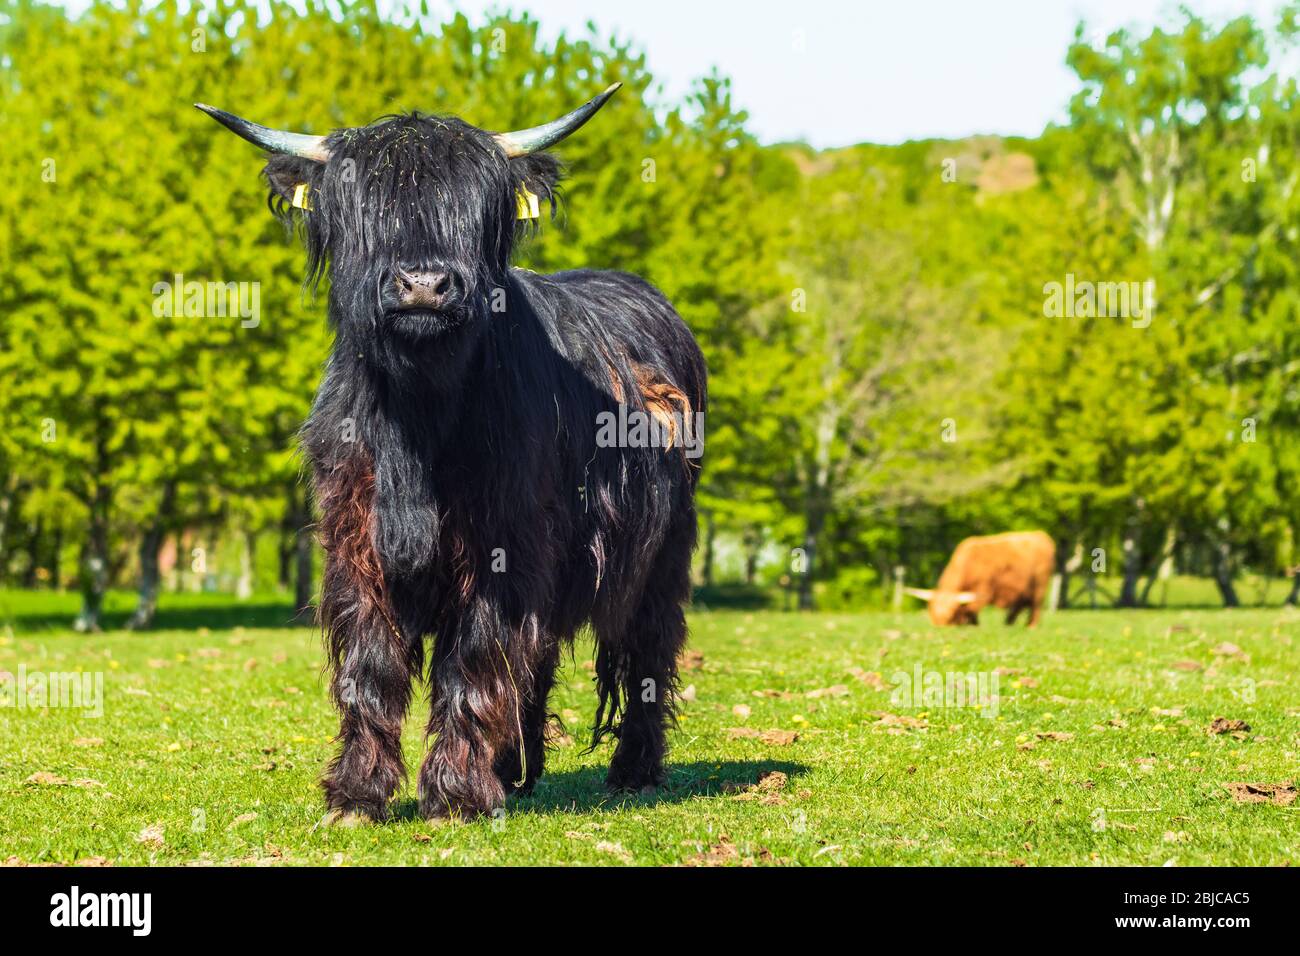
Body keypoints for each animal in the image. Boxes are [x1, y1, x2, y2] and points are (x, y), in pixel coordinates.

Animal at [201, 85, 707, 816]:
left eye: (476, 208)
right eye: (364, 207)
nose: (422, 285)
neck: (417, 419)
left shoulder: (504, 546)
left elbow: (473, 656)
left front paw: (455, 793)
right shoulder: (354, 541)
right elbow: (370, 664)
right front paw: (357, 792)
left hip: (662, 559)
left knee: (646, 652)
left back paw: (633, 768)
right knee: (541, 660)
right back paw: (518, 769)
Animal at [904, 530, 1055, 629]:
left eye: (952, 611)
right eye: (931, 608)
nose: (940, 625)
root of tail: (1040, 534)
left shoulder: (983, 589)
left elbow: (973, 608)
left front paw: (973, 624)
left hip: (1040, 586)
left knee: (1036, 607)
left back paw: (1031, 626)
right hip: (1023, 591)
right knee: (1018, 608)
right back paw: (1008, 624)